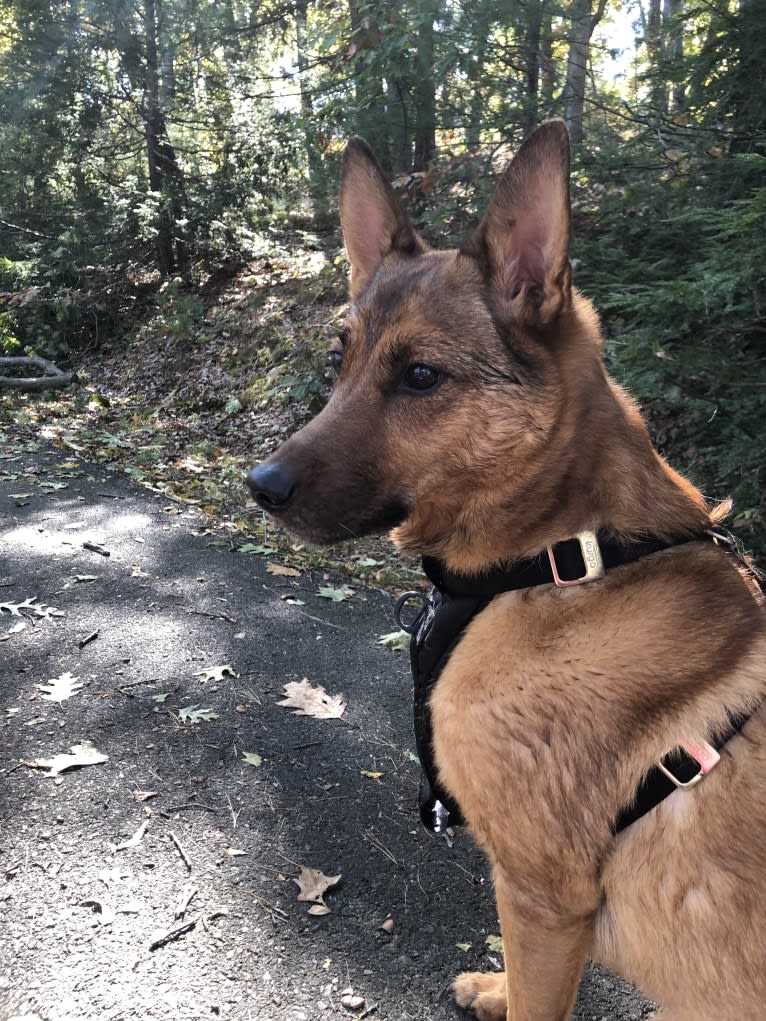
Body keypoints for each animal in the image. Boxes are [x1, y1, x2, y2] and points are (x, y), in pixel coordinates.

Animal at [250, 121, 766, 1021]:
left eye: (420, 376)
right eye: (342, 358)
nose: (260, 486)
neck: (564, 557)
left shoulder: (543, 899)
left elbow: (538, 995)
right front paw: (495, 986)